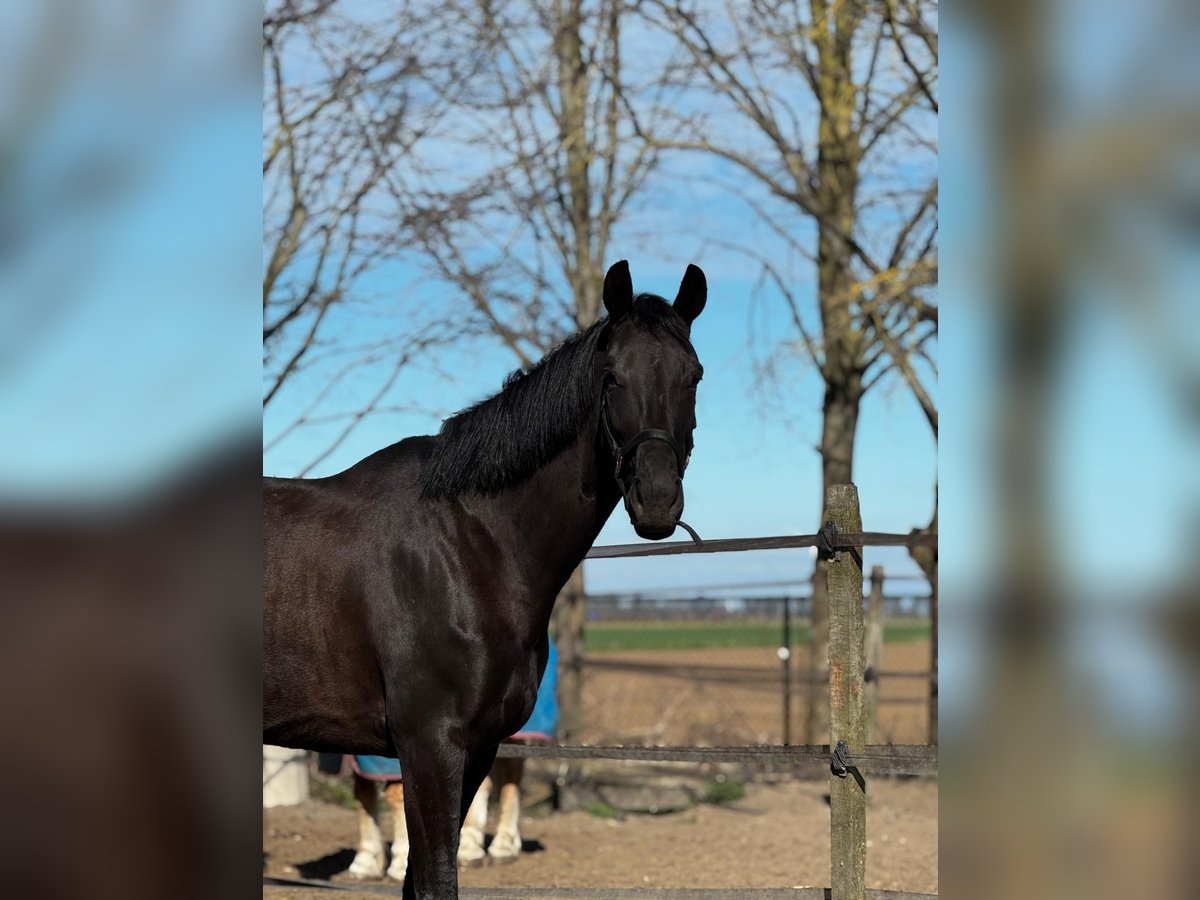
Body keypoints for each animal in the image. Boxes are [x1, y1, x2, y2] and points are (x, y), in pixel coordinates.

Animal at [263, 259, 707, 899]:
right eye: (611, 377)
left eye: (692, 376)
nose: (656, 499)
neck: (471, 543)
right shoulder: (430, 747)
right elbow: (436, 880)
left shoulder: (477, 747)